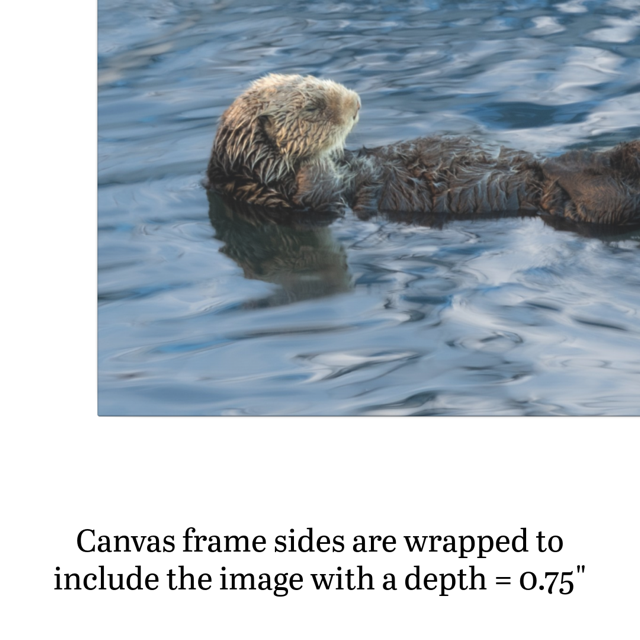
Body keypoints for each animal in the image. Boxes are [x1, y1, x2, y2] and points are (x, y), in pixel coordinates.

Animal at [206, 74, 640, 226]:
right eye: (312, 107)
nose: (356, 103)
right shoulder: (288, 199)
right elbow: (315, 192)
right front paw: (309, 165)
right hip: (593, 205)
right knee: (600, 194)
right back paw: (562, 162)